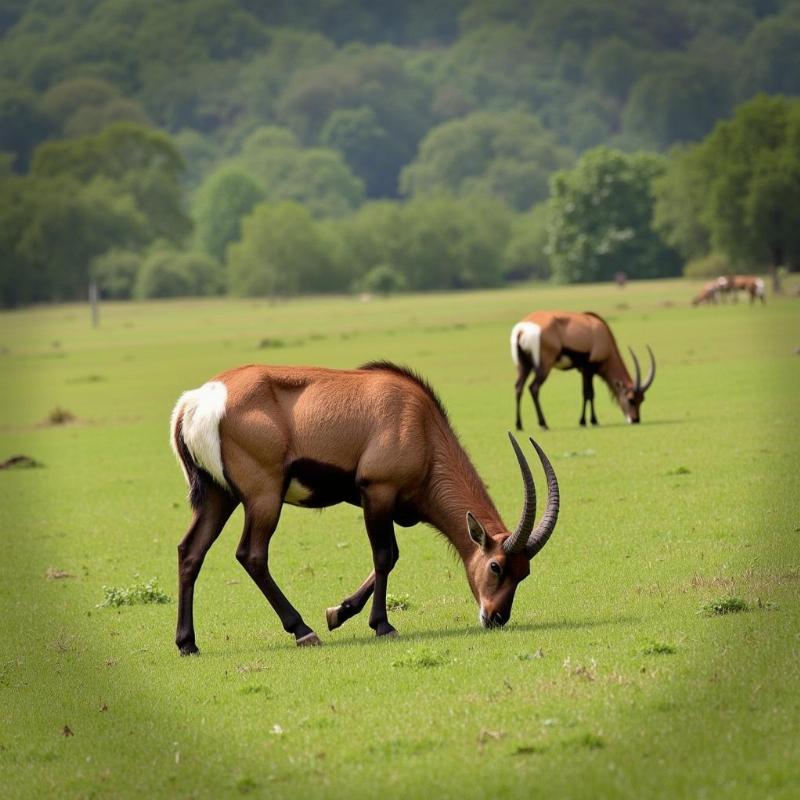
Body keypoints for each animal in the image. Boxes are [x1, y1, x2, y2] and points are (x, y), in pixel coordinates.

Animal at [169, 362, 560, 656]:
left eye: (523, 573)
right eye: (496, 566)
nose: (495, 617)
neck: (421, 425)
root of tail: (197, 400)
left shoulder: (391, 507)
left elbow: (391, 557)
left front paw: (338, 613)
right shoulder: (378, 492)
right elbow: (385, 556)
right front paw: (382, 625)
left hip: (220, 497)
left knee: (191, 551)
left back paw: (187, 643)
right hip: (263, 497)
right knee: (251, 554)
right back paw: (302, 630)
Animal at [512, 310, 656, 432]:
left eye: (642, 399)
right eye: (631, 399)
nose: (635, 419)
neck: (603, 333)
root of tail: (521, 329)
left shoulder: (582, 370)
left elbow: (585, 393)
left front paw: (587, 421)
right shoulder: (589, 368)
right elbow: (589, 394)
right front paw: (590, 421)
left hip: (524, 366)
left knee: (519, 387)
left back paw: (519, 425)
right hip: (544, 366)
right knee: (534, 388)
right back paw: (543, 424)